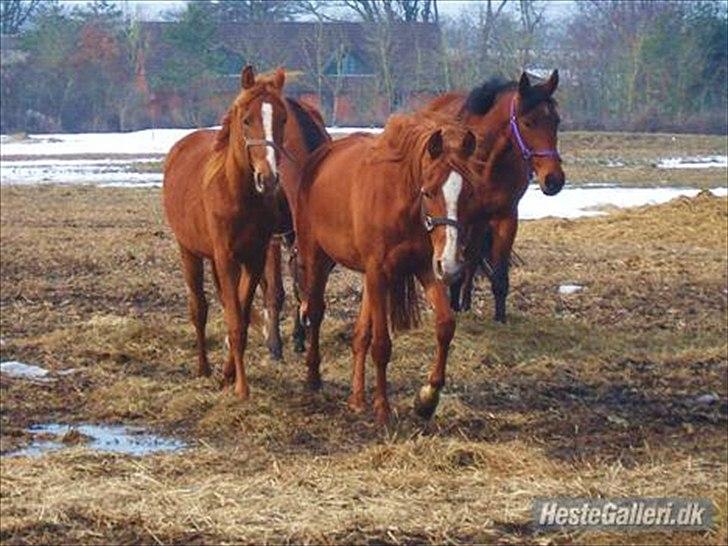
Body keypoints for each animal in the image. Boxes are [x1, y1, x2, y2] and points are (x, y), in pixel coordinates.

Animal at [164, 65, 288, 396]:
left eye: (283, 119)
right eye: (246, 120)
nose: (267, 178)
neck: (236, 193)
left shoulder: (254, 259)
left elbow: (241, 318)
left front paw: (230, 375)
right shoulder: (226, 259)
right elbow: (233, 321)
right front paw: (241, 388)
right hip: (189, 251)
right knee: (199, 308)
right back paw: (203, 368)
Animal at [296, 112, 478, 422]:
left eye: (467, 194)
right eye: (428, 192)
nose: (452, 265)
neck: (401, 201)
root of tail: (320, 157)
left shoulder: (425, 268)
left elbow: (445, 325)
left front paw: (427, 398)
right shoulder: (380, 272)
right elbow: (381, 345)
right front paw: (382, 407)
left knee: (360, 335)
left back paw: (357, 398)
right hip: (317, 258)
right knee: (316, 311)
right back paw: (313, 377)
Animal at [424, 70, 564, 320]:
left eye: (556, 121)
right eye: (528, 123)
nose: (554, 180)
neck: (485, 161)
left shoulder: (505, 217)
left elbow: (498, 277)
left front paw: (499, 318)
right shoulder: (460, 217)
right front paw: (453, 306)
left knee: (472, 258)